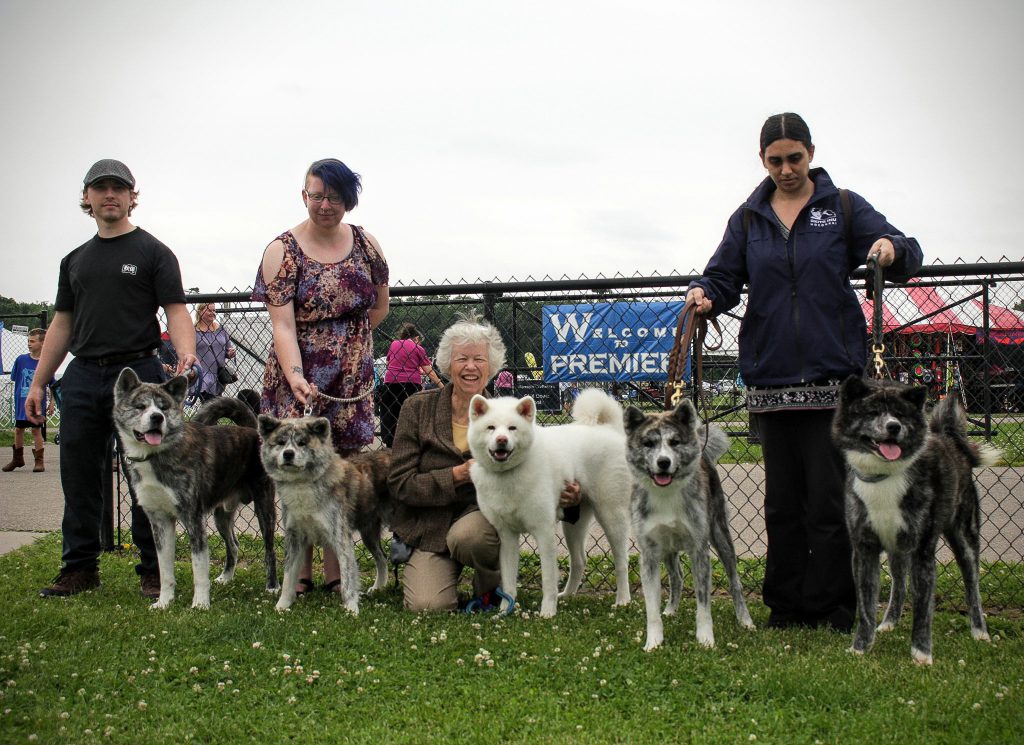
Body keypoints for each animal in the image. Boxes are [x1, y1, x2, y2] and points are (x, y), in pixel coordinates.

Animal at [113, 368, 280, 609]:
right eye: (140, 406)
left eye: (164, 407)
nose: (157, 417)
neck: (158, 454)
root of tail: (251, 431)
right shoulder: (160, 521)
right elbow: (165, 569)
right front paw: (163, 603)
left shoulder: (193, 519)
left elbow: (199, 568)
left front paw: (200, 604)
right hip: (221, 516)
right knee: (233, 545)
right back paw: (226, 577)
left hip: (264, 507)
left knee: (270, 549)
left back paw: (272, 586)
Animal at [258, 413, 393, 609]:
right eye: (281, 442)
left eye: (302, 443)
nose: (288, 454)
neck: (302, 484)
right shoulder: (294, 537)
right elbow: (289, 576)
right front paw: (282, 606)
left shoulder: (340, 537)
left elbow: (347, 578)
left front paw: (351, 608)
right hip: (369, 533)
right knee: (382, 558)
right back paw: (378, 588)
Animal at [468, 390, 630, 618]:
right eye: (491, 427)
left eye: (512, 428)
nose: (501, 440)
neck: (508, 474)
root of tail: (610, 429)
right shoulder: (507, 537)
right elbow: (508, 582)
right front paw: (505, 609)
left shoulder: (543, 532)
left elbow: (548, 579)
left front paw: (547, 611)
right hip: (574, 525)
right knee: (579, 561)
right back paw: (567, 595)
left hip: (611, 516)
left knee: (621, 562)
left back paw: (623, 600)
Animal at [618, 399, 757, 650]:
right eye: (648, 443)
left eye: (675, 442)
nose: (664, 462)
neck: (666, 495)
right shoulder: (649, 554)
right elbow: (651, 608)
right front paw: (653, 642)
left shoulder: (699, 551)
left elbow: (703, 604)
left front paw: (705, 639)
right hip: (668, 549)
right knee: (677, 577)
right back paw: (671, 609)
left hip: (721, 536)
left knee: (735, 583)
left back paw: (745, 620)